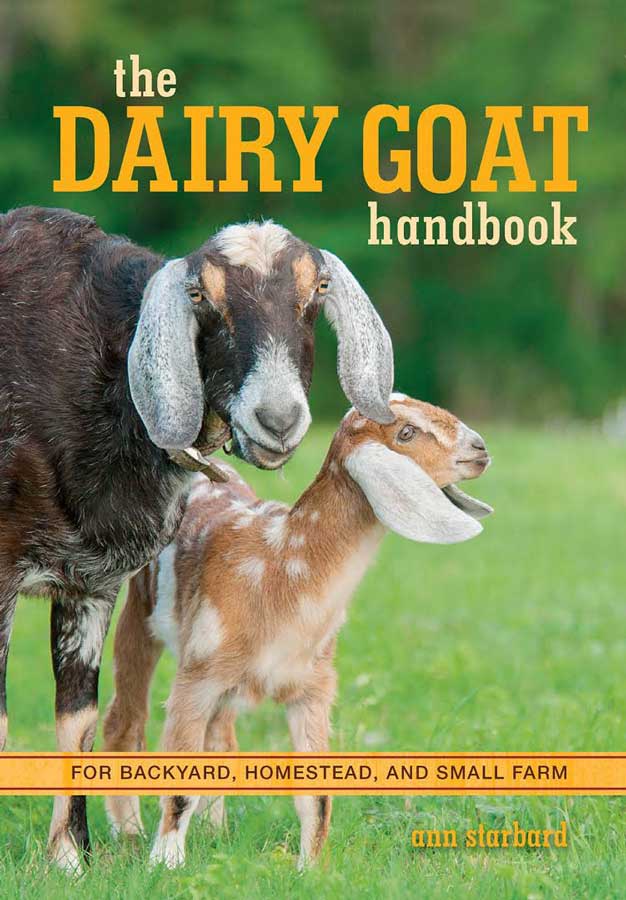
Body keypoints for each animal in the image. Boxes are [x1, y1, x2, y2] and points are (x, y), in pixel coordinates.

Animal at [0, 206, 393, 871]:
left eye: (317, 290)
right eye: (200, 297)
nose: (278, 420)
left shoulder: (89, 580)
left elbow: (76, 721)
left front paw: (71, 858)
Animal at [103, 393, 492, 870]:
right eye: (406, 432)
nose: (479, 449)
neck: (279, 568)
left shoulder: (313, 686)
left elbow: (316, 796)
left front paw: (311, 868)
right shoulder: (196, 678)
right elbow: (179, 782)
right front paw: (166, 864)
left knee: (220, 740)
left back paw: (216, 831)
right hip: (141, 613)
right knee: (124, 720)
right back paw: (129, 834)